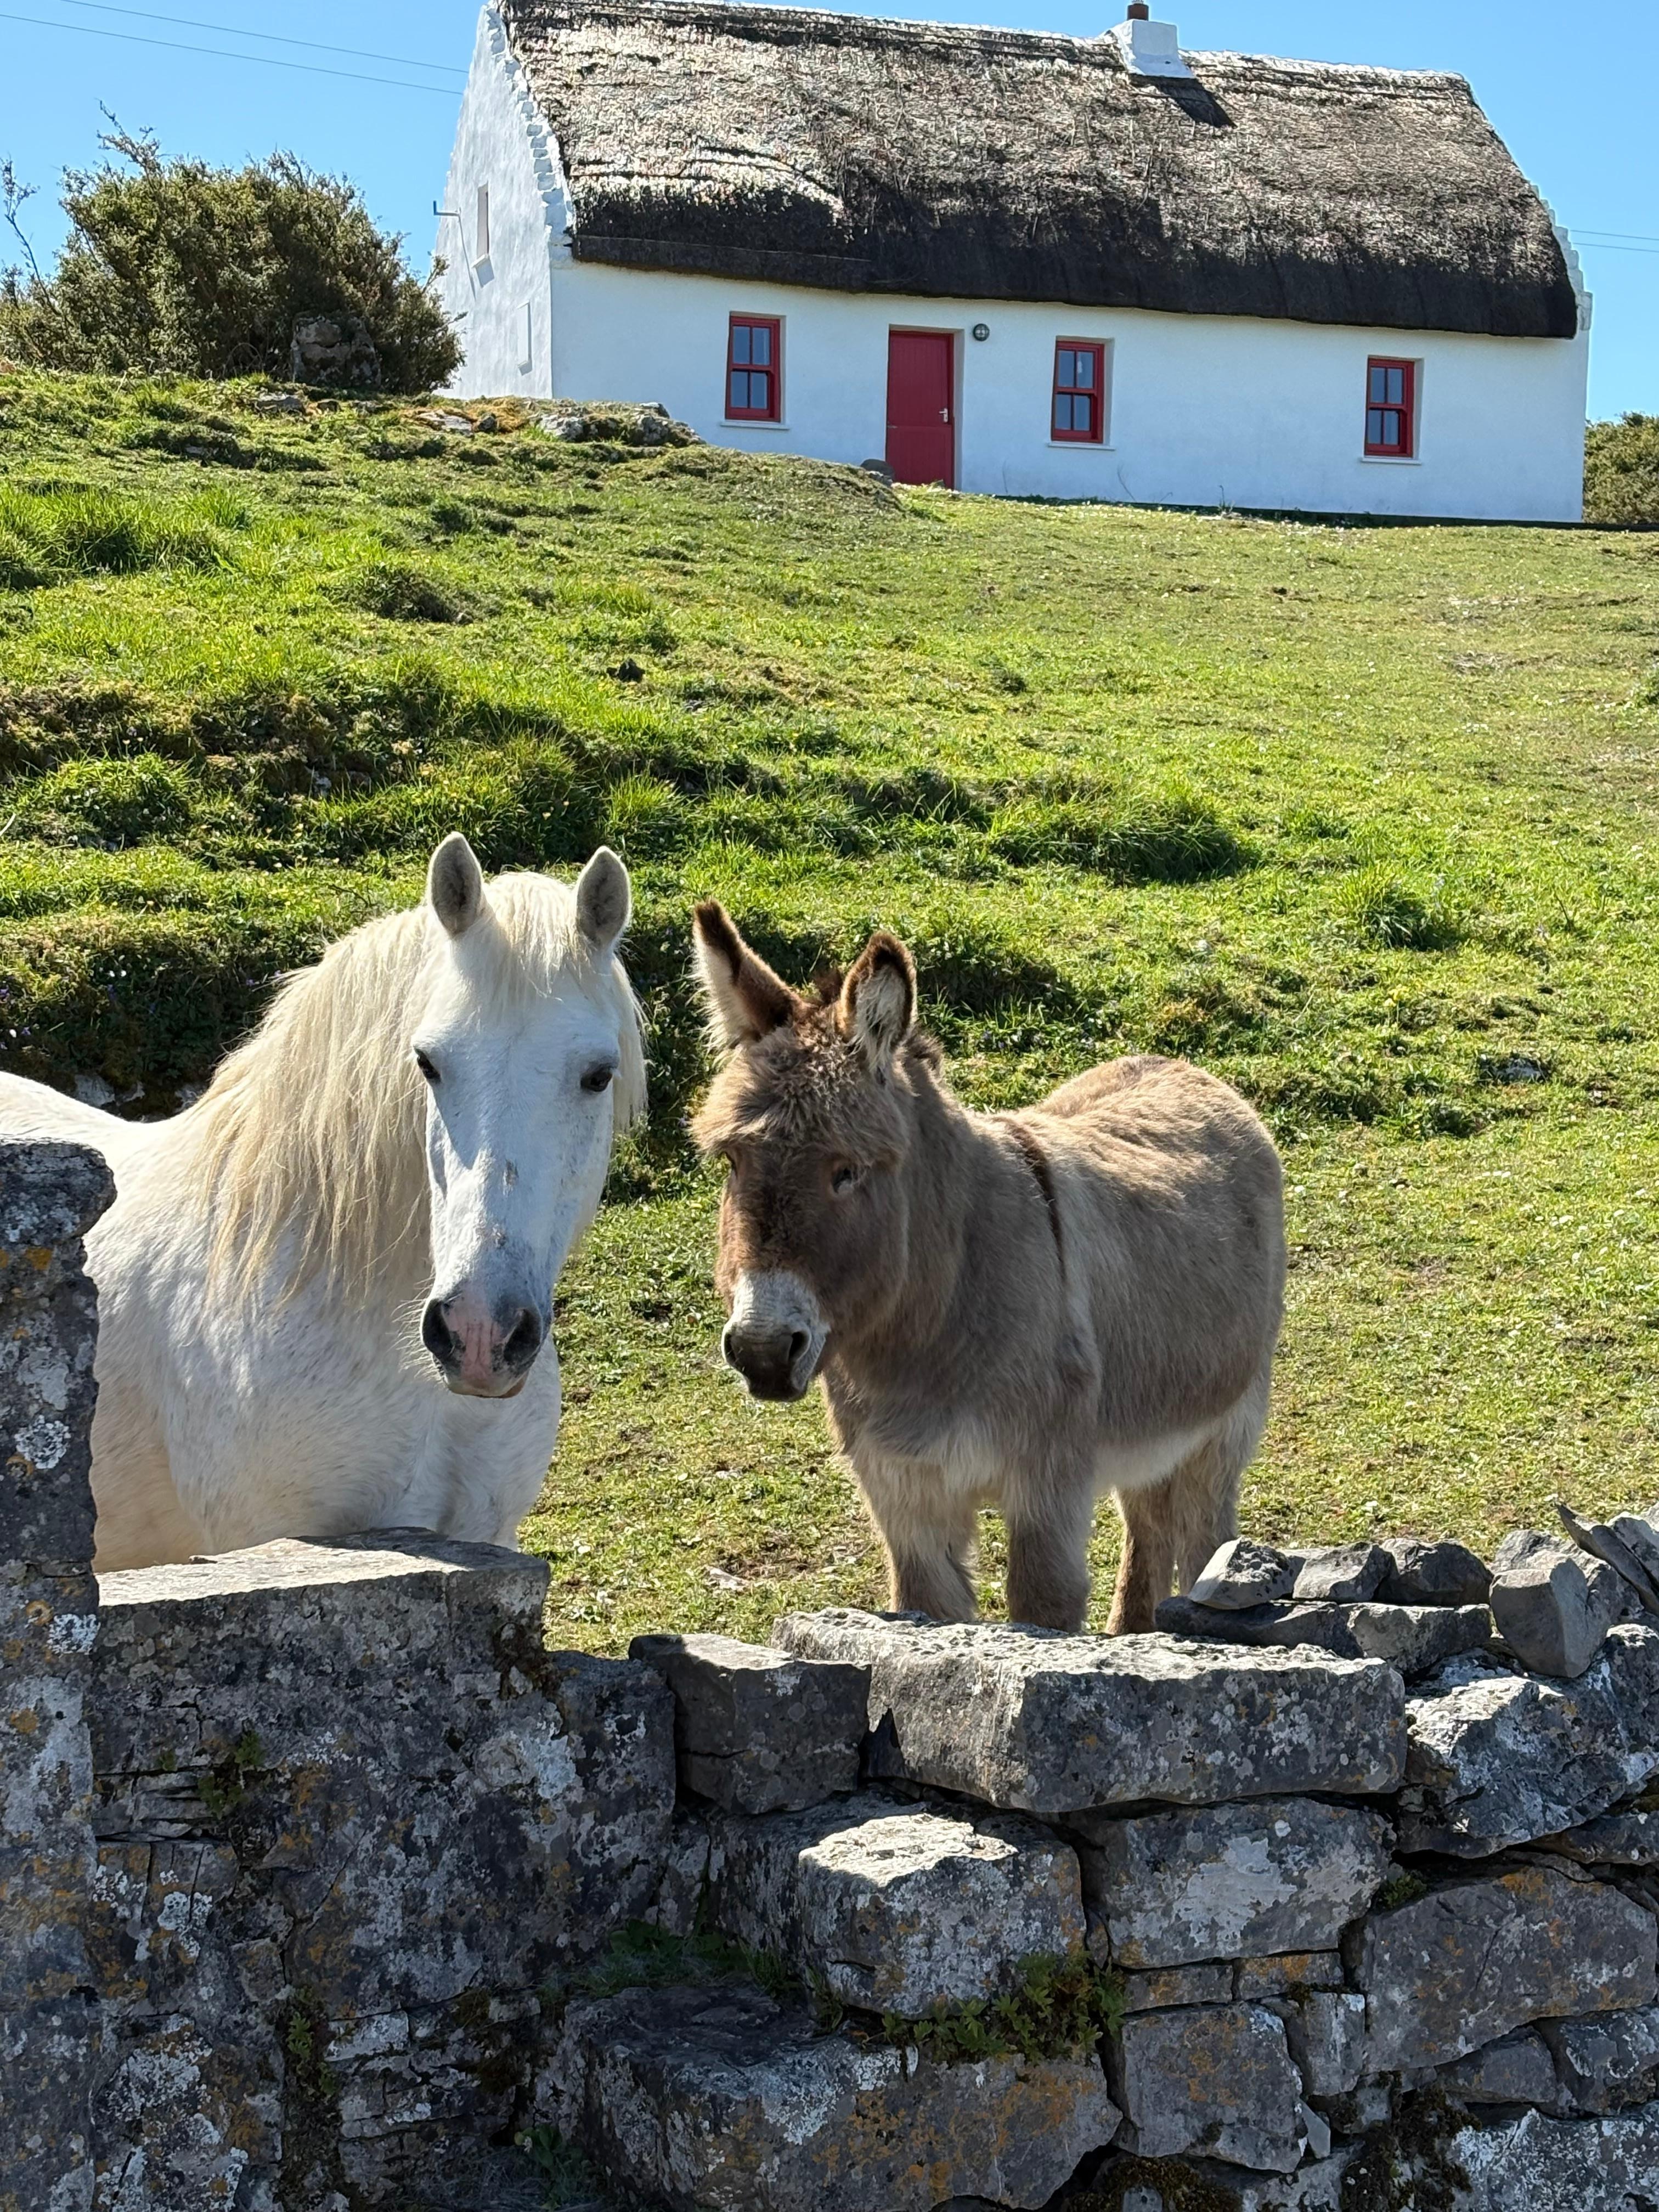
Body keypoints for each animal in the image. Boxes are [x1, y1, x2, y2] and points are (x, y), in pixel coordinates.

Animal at [689, 903, 1285, 1635]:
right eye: (731, 1163)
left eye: (846, 1172)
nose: (763, 1352)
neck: (934, 1319)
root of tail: (1184, 1068)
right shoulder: (905, 1494)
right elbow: (926, 1607)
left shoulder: (1048, 1487)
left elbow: (1043, 1609)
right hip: (1149, 1432)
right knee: (1148, 1532)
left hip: (1224, 1428)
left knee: (1206, 1540)